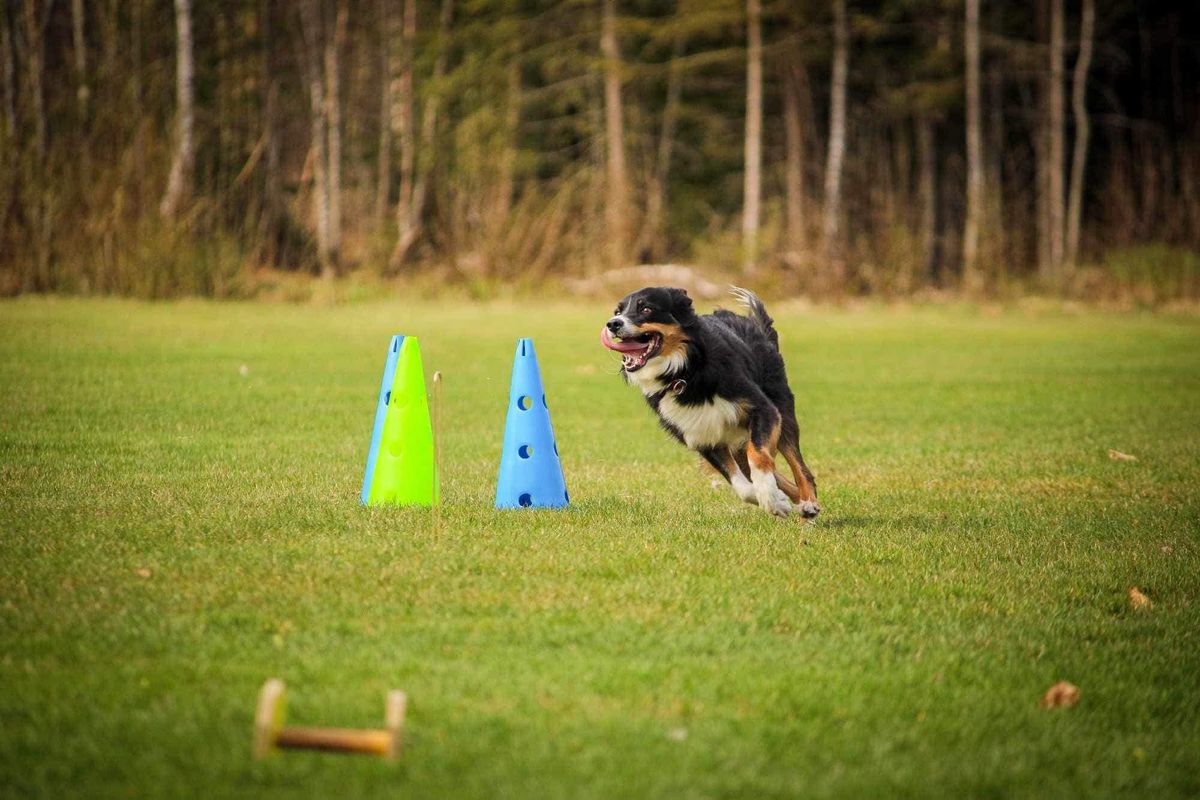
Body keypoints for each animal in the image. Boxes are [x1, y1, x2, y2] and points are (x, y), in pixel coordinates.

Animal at [604, 286, 820, 520]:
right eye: (618, 311)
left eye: (646, 309)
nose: (613, 324)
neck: (684, 371)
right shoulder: (702, 436)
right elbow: (742, 486)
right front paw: (777, 501)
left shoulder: (763, 409)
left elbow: (759, 457)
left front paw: (771, 499)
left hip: (782, 409)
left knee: (800, 467)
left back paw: (809, 504)